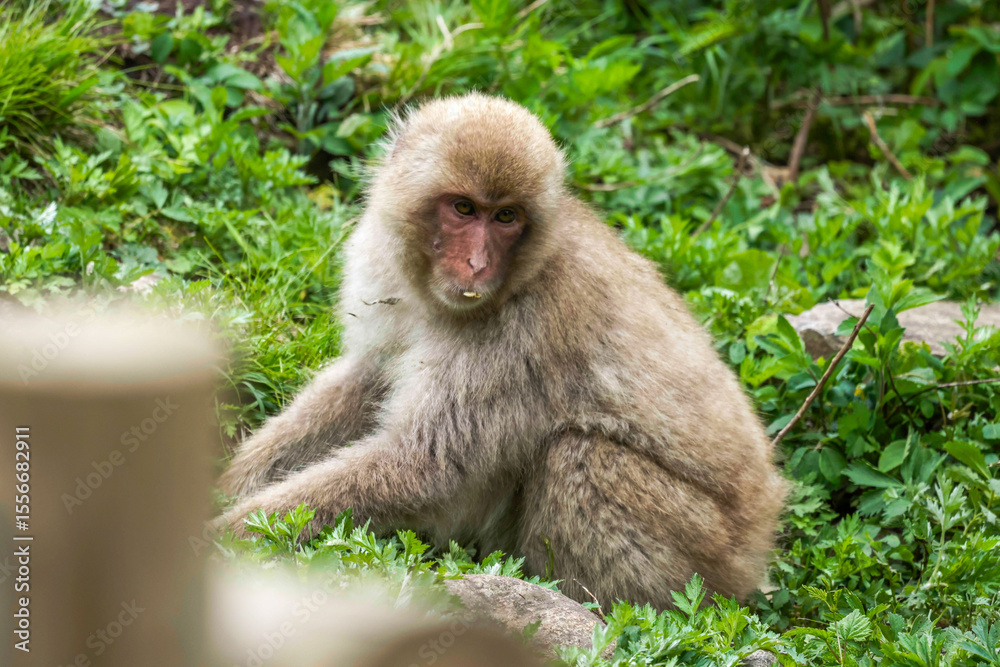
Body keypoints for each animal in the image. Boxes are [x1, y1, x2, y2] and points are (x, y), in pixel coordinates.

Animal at [218, 92, 786, 608]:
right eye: (464, 208)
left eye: (506, 217)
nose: (477, 265)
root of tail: (758, 544)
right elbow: (367, 379)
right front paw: (225, 486)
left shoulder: (520, 337)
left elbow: (422, 465)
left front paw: (223, 535)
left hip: (702, 550)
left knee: (579, 456)